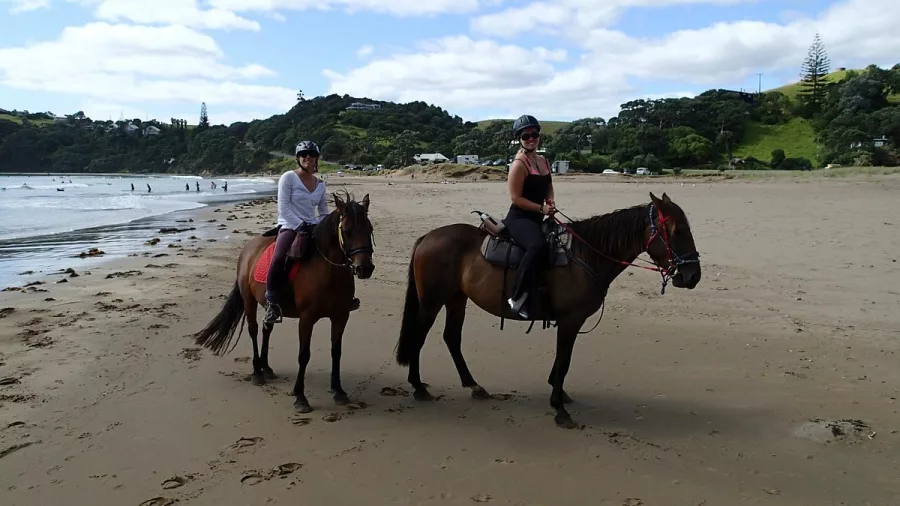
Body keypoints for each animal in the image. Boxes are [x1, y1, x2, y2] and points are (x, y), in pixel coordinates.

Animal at [194, 191, 376, 413]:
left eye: (370, 229)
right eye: (347, 231)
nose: (365, 268)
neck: (328, 271)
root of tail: (248, 248)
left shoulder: (341, 316)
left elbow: (336, 352)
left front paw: (338, 391)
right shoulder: (306, 319)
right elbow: (304, 355)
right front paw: (300, 397)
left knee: (267, 329)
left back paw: (266, 368)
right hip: (249, 300)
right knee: (254, 330)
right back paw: (257, 372)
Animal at [394, 192, 701, 428]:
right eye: (678, 231)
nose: (693, 275)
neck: (584, 255)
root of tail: (428, 237)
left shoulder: (570, 322)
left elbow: (562, 360)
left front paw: (559, 392)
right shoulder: (570, 320)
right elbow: (564, 360)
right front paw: (559, 409)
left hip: (457, 298)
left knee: (452, 338)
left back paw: (473, 386)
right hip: (432, 301)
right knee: (419, 336)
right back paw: (418, 387)